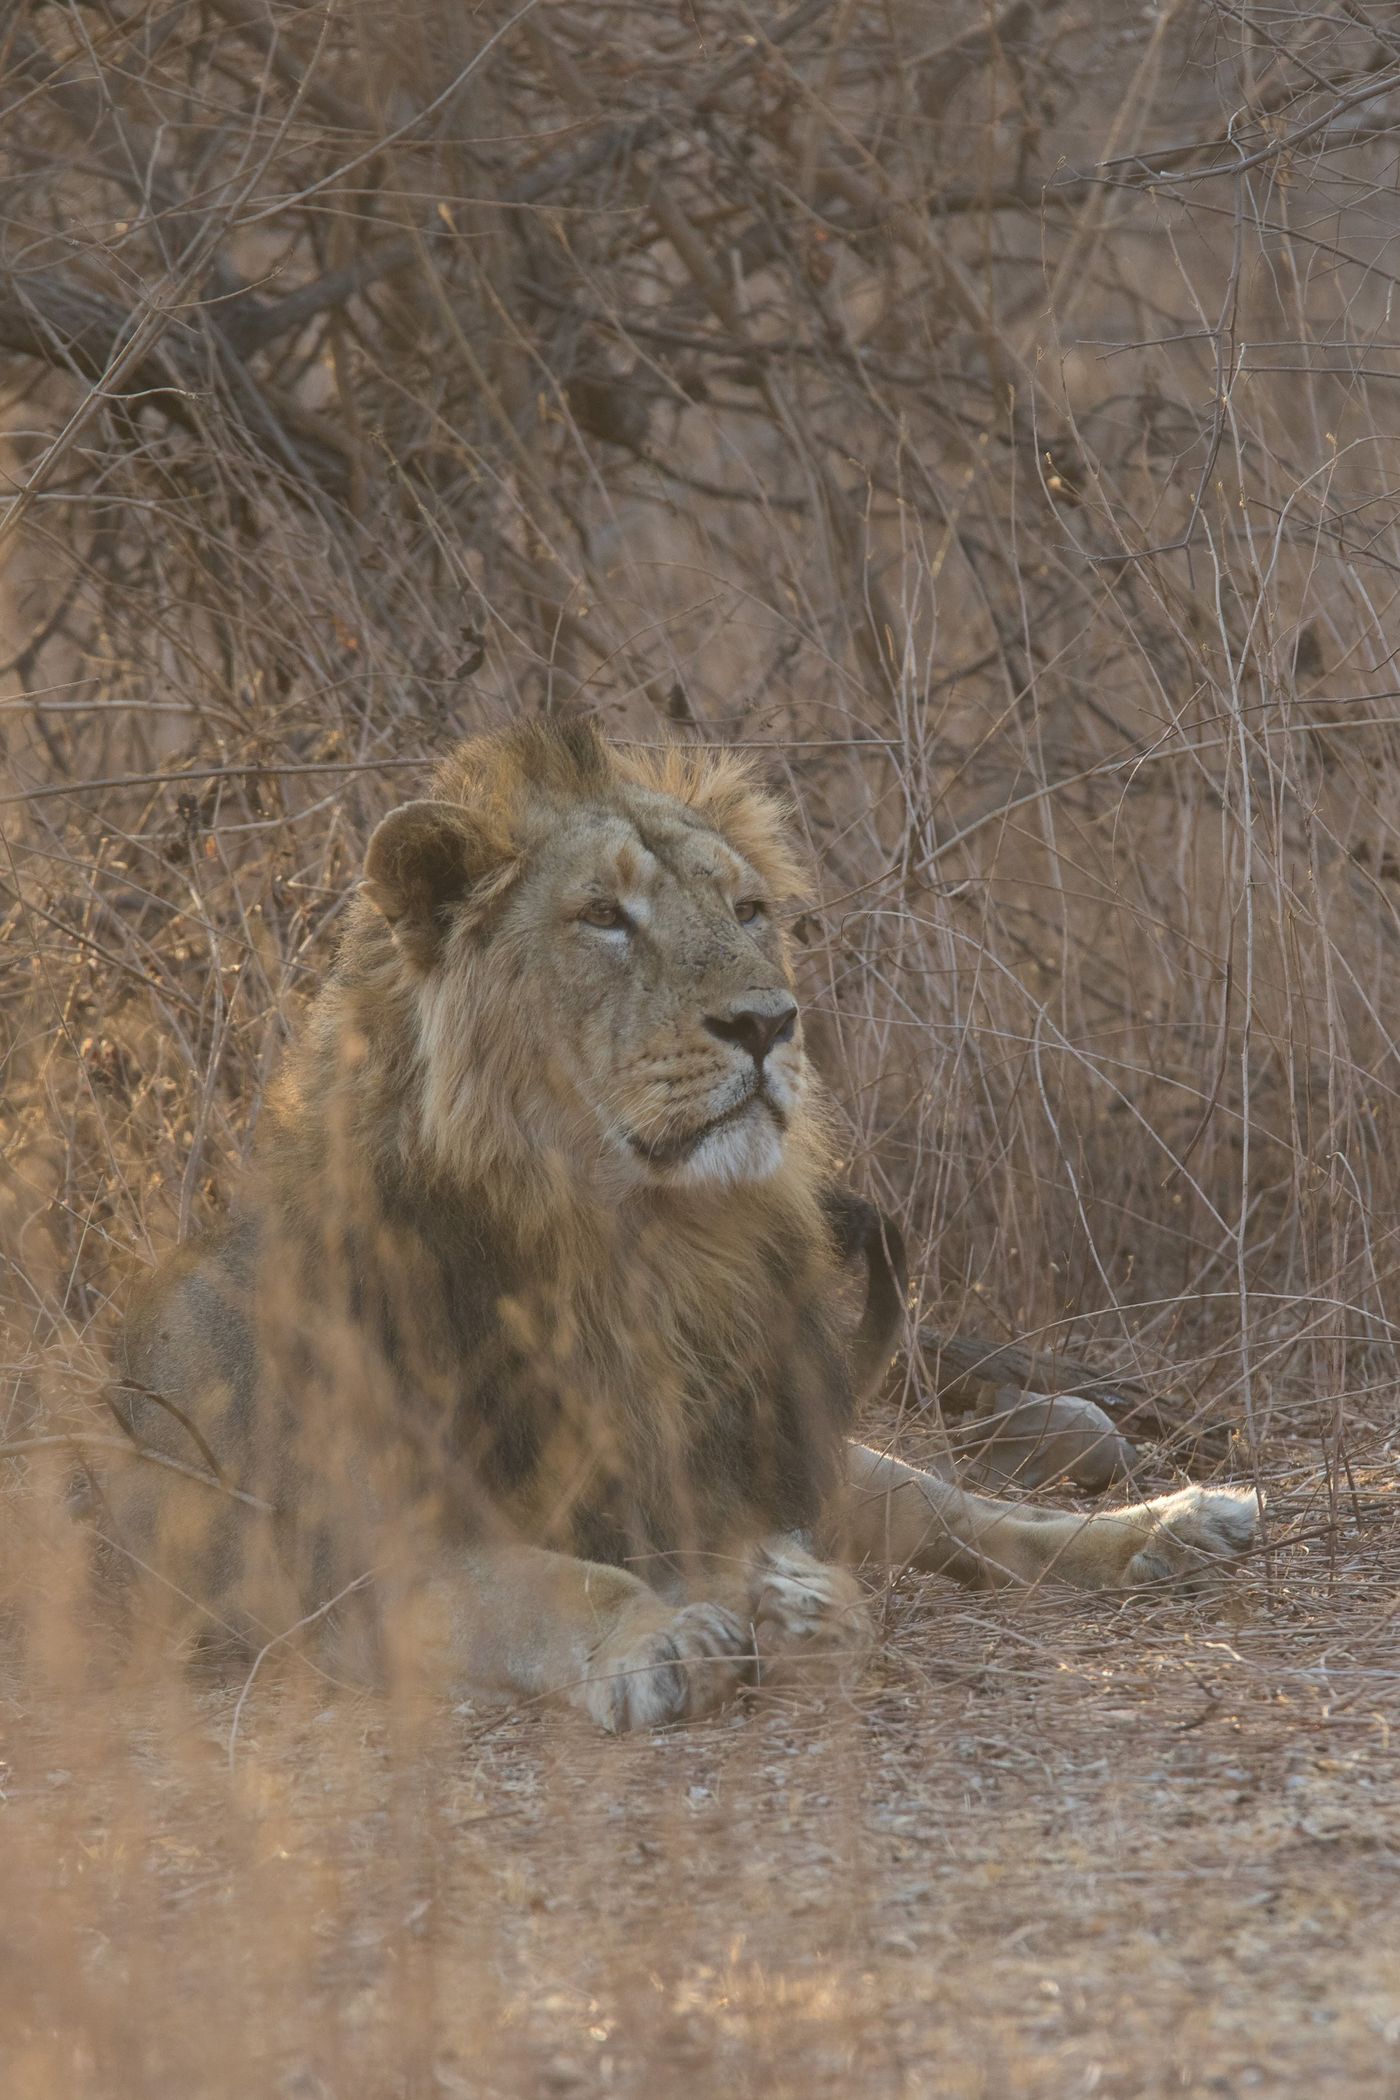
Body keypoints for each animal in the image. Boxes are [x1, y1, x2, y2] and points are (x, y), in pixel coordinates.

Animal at [112, 713, 1259, 1730]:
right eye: (603, 917)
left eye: (748, 909)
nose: (768, 1022)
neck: (646, 1248)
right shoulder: (344, 1565)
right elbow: (533, 1583)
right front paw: (660, 1637)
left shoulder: (755, 1440)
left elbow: (940, 1499)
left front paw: (1158, 1527)